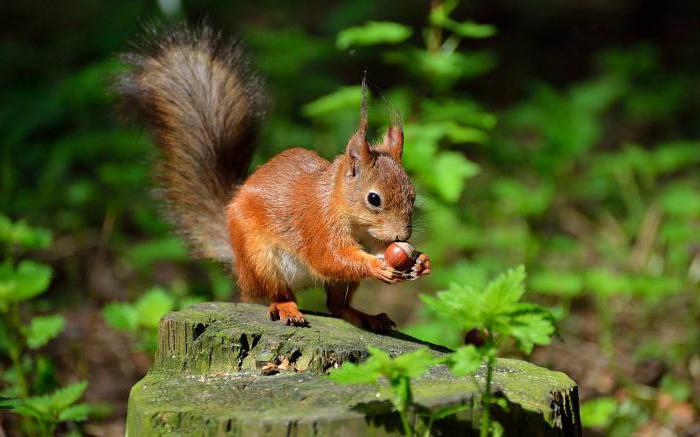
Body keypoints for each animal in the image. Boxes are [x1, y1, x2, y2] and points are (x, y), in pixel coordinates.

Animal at [116, 24, 426, 330]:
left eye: (412, 196)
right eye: (373, 198)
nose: (402, 235)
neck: (343, 207)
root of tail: (239, 264)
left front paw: (420, 261)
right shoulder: (317, 224)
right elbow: (329, 257)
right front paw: (377, 265)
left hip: (333, 283)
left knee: (336, 305)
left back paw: (365, 316)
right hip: (261, 259)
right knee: (274, 293)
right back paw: (287, 307)